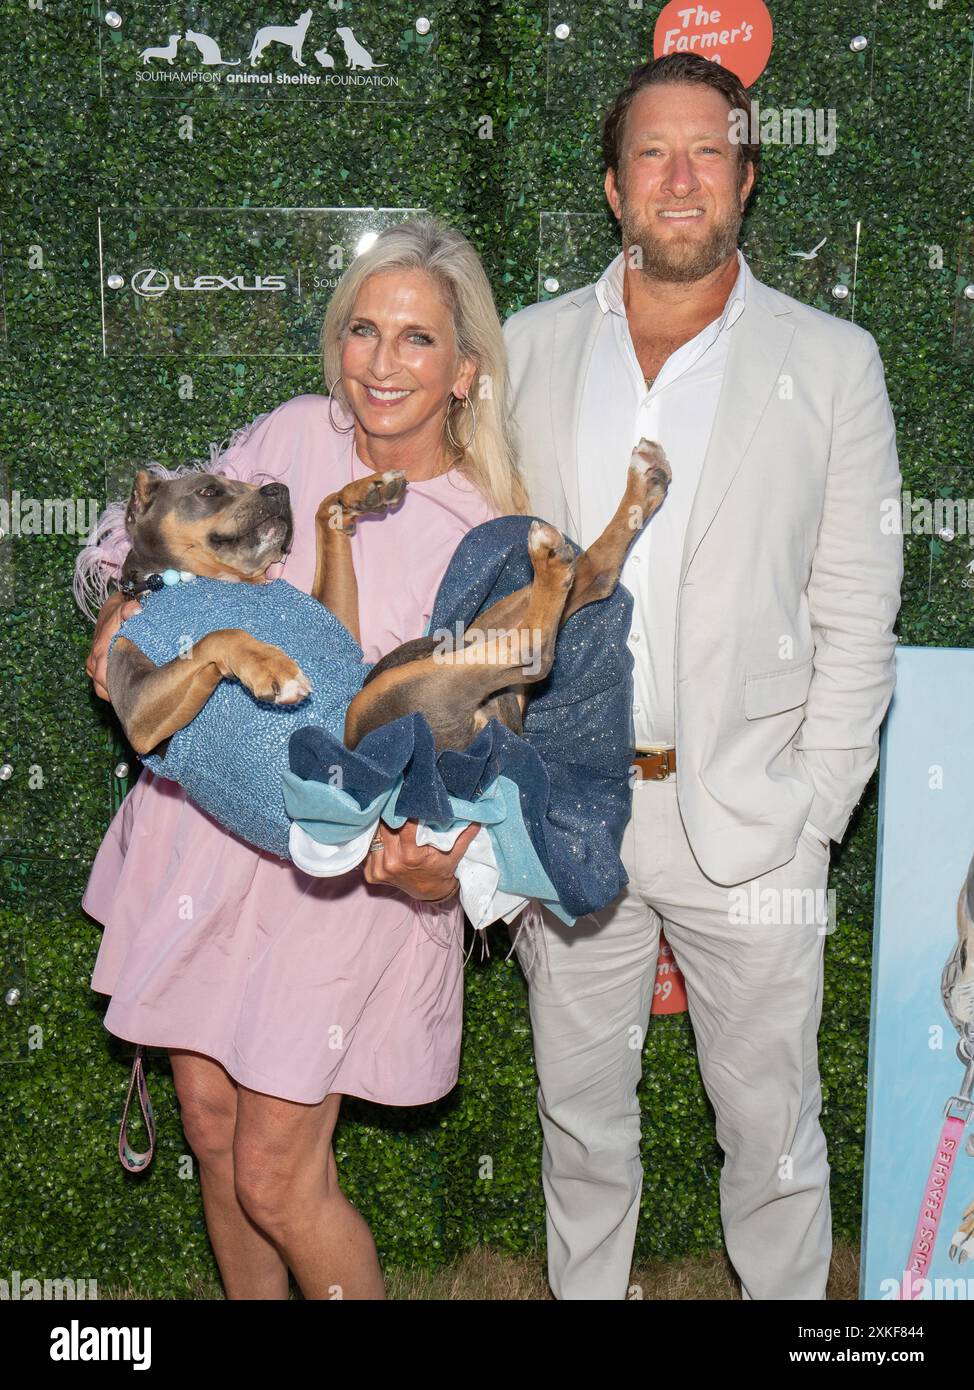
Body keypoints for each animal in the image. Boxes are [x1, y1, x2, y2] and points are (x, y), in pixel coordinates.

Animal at [106, 436, 669, 756]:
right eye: (208, 491)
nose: (279, 491)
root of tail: (493, 731)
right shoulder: (137, 715)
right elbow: (216, 634)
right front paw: (270, 666)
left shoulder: (334, 616)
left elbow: (327, 514)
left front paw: (364, 492)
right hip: (387, 696)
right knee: (537, 644)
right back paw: (561, 551)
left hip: (456, 644)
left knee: (588, 579)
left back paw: (643, 486)